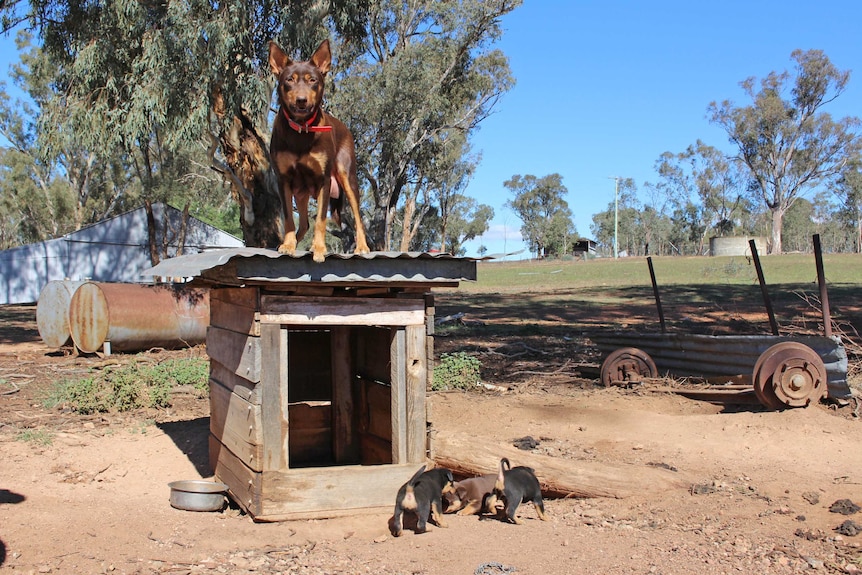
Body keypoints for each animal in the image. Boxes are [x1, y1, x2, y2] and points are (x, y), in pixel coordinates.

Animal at [266, 39, 368, 264]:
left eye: (312, 80)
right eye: (289, 80)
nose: (301, 100)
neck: (302, 129)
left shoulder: (323, 180)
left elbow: (321, 220)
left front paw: (320, 249)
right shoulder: (284, 180)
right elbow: (289, 218)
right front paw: (288, 245)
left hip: (347, 177)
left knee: (358, 217)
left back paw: (363, 247)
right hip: (301, 191)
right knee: (303, 223)